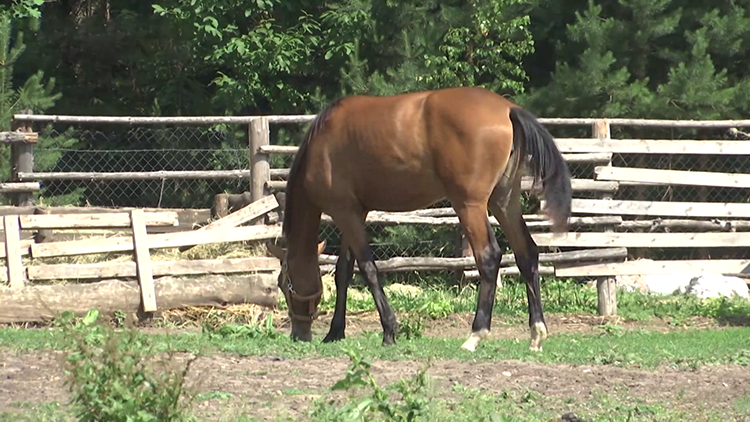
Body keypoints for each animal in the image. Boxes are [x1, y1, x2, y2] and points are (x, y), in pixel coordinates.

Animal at [268, 85, 572, 352]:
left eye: (284, 283)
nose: (298, 334)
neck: (322, 143)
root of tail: (507, 109)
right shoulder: (354, 211)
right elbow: (344, 270)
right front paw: (335, 331)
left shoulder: (344, 212)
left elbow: (368, 268)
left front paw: (389, 330)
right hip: (504, 201)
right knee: (526, 254)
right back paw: (536, 333)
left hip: (470, 205)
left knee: (489, 257)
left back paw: (476, 334)